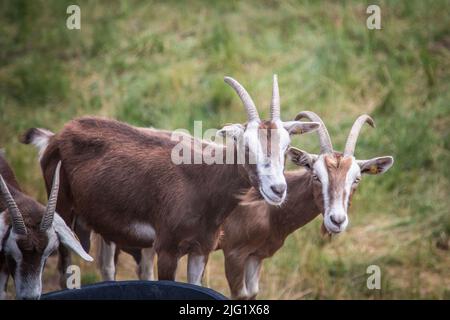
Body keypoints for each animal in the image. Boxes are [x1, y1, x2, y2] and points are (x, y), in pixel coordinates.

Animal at [22, 76, 320, 286]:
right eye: (246, 146)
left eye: (286, 147)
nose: (277, 190)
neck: (202, 182)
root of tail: (55, 137)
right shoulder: (166, 250)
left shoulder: (201, 251)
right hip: (64, 212)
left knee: (107, 267)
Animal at [218, 111, 394, 298]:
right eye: (316, 175)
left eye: (357, 179)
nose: (337, 220)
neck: (267, 210)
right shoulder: (234, 254)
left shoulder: (255, 255)